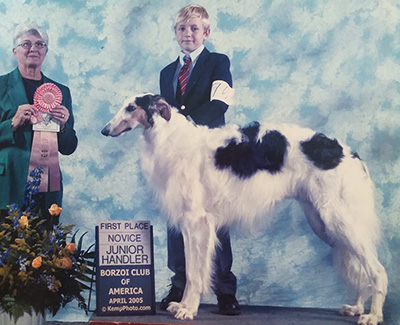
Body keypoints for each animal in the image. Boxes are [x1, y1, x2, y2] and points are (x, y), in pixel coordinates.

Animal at [102, 93, 388, 324]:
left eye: (130, 107)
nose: (105, 130)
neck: (172, 138)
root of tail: (350, 154)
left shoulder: (198, 221)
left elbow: (195, 273)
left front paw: (188, 309)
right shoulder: (188, 224)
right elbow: (191, 268)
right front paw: (180, 305)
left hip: (339, 218)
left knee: (377, 270)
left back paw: (373, 315)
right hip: (323, 223)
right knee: (362, 267)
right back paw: (356, 307)